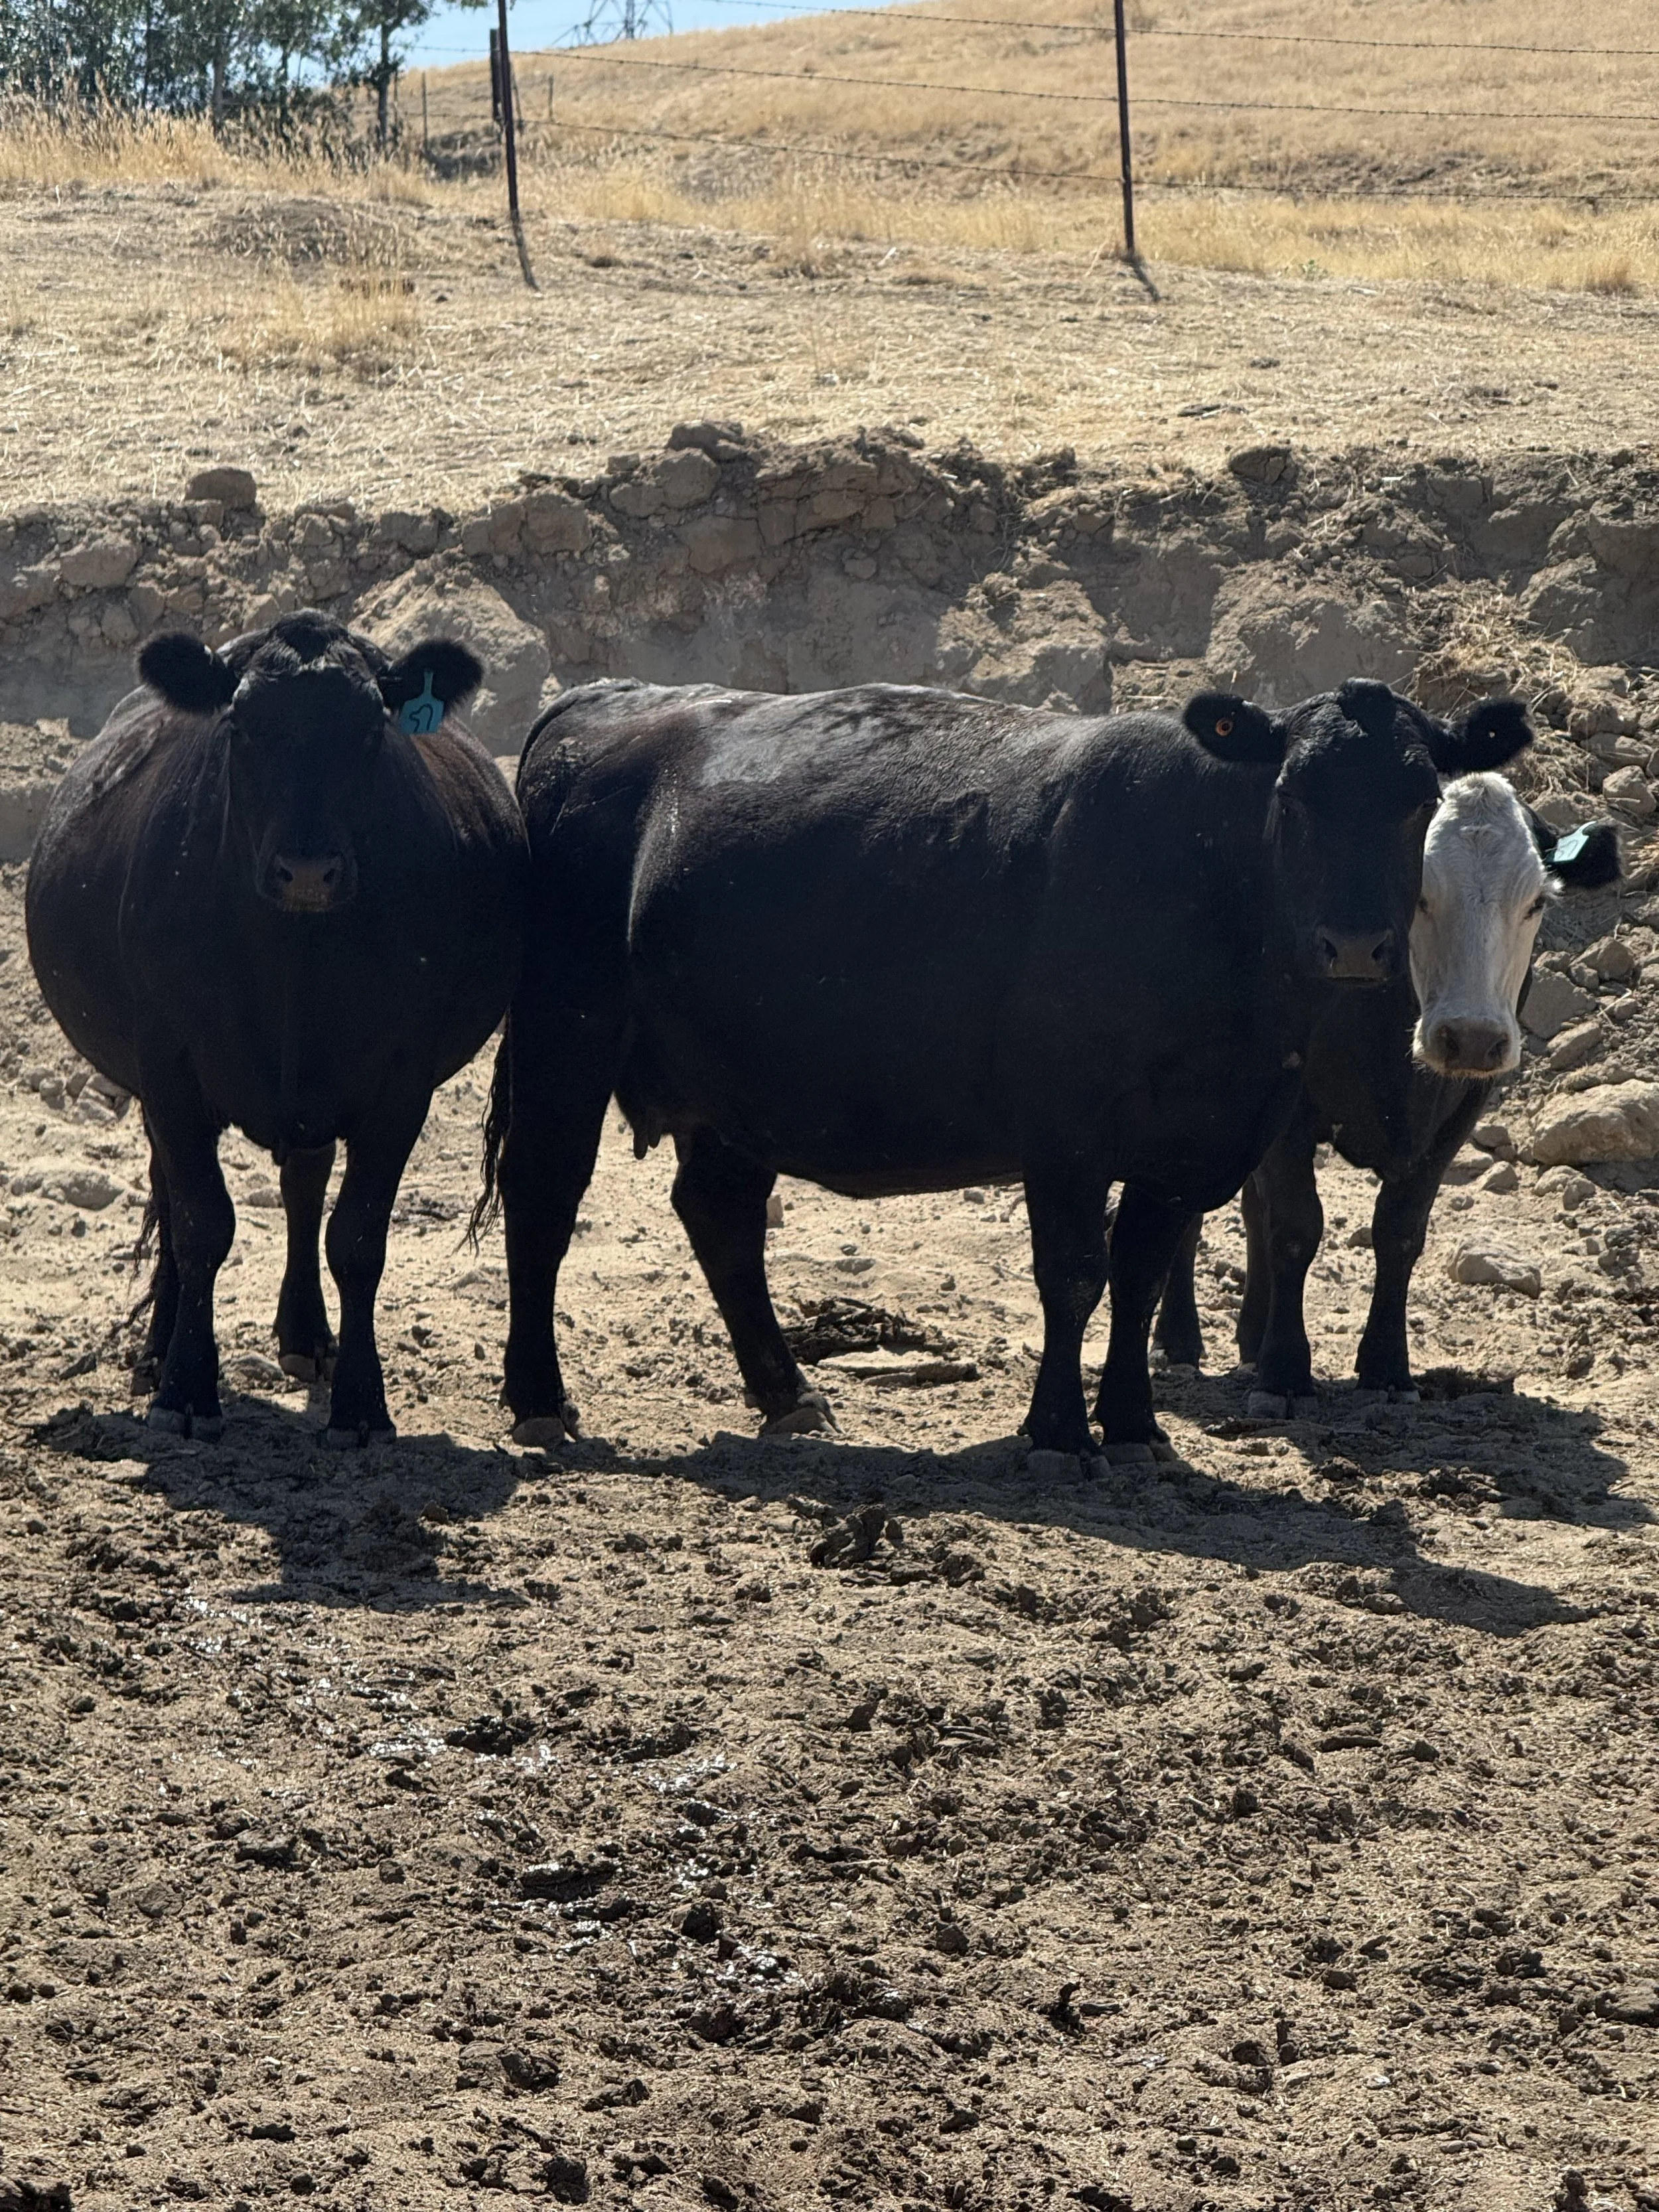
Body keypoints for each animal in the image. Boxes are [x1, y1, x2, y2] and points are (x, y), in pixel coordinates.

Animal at [26, 610, 527, 1446]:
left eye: (371, 728)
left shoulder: (402, 1079)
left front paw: (361, 1404)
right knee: (173, 1196)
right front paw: (186, 1390)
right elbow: (201, 1223)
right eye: (241, 726)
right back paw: (158, 1351)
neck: (295, 951)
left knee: (302, 1186)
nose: (308, 871)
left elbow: (356, 1238)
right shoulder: (169, 1064)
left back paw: (305, 1337)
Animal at [478, 674, 1530, 1465]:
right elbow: (1072, 1274)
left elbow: (1140, 1271)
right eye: (1293, 795)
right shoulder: (1066, 1128)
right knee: (544, 1192)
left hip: (742, 1084)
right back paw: (541, 1398)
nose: (1353, 945)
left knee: (720, 1216)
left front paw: (1135, 1425)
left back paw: (788, 1394)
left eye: (1418, 801)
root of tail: (609, 701)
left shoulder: (1193, 1138)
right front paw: (1059, 1431)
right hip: (567, 1033)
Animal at [1148, 776, 1621, 1412]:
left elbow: (1398, 1232)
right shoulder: (1290, 1109)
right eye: (1418, 894)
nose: (1471, 1037)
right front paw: (1285, 1370)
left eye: (1536, 902)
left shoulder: (1458, 1113)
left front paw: (1388, 1368)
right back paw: (1178, 1338)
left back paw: (1249, 1335)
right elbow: (1296, 1226)